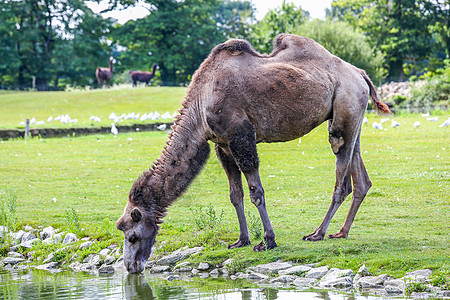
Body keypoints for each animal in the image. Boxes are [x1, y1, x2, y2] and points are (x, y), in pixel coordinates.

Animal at [116, 34, 390, 274]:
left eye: (132, 236)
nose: (131, 266)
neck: (201, 103)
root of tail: (361, 75)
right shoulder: (223, 145)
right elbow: (235, 195)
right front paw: (241, 240)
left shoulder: (241, 135)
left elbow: (256, 193)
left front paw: (267, 241)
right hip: (351, 117)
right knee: (360, 176)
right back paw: (341, 232)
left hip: (344, 109)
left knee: (341, 175)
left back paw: (317, 233)